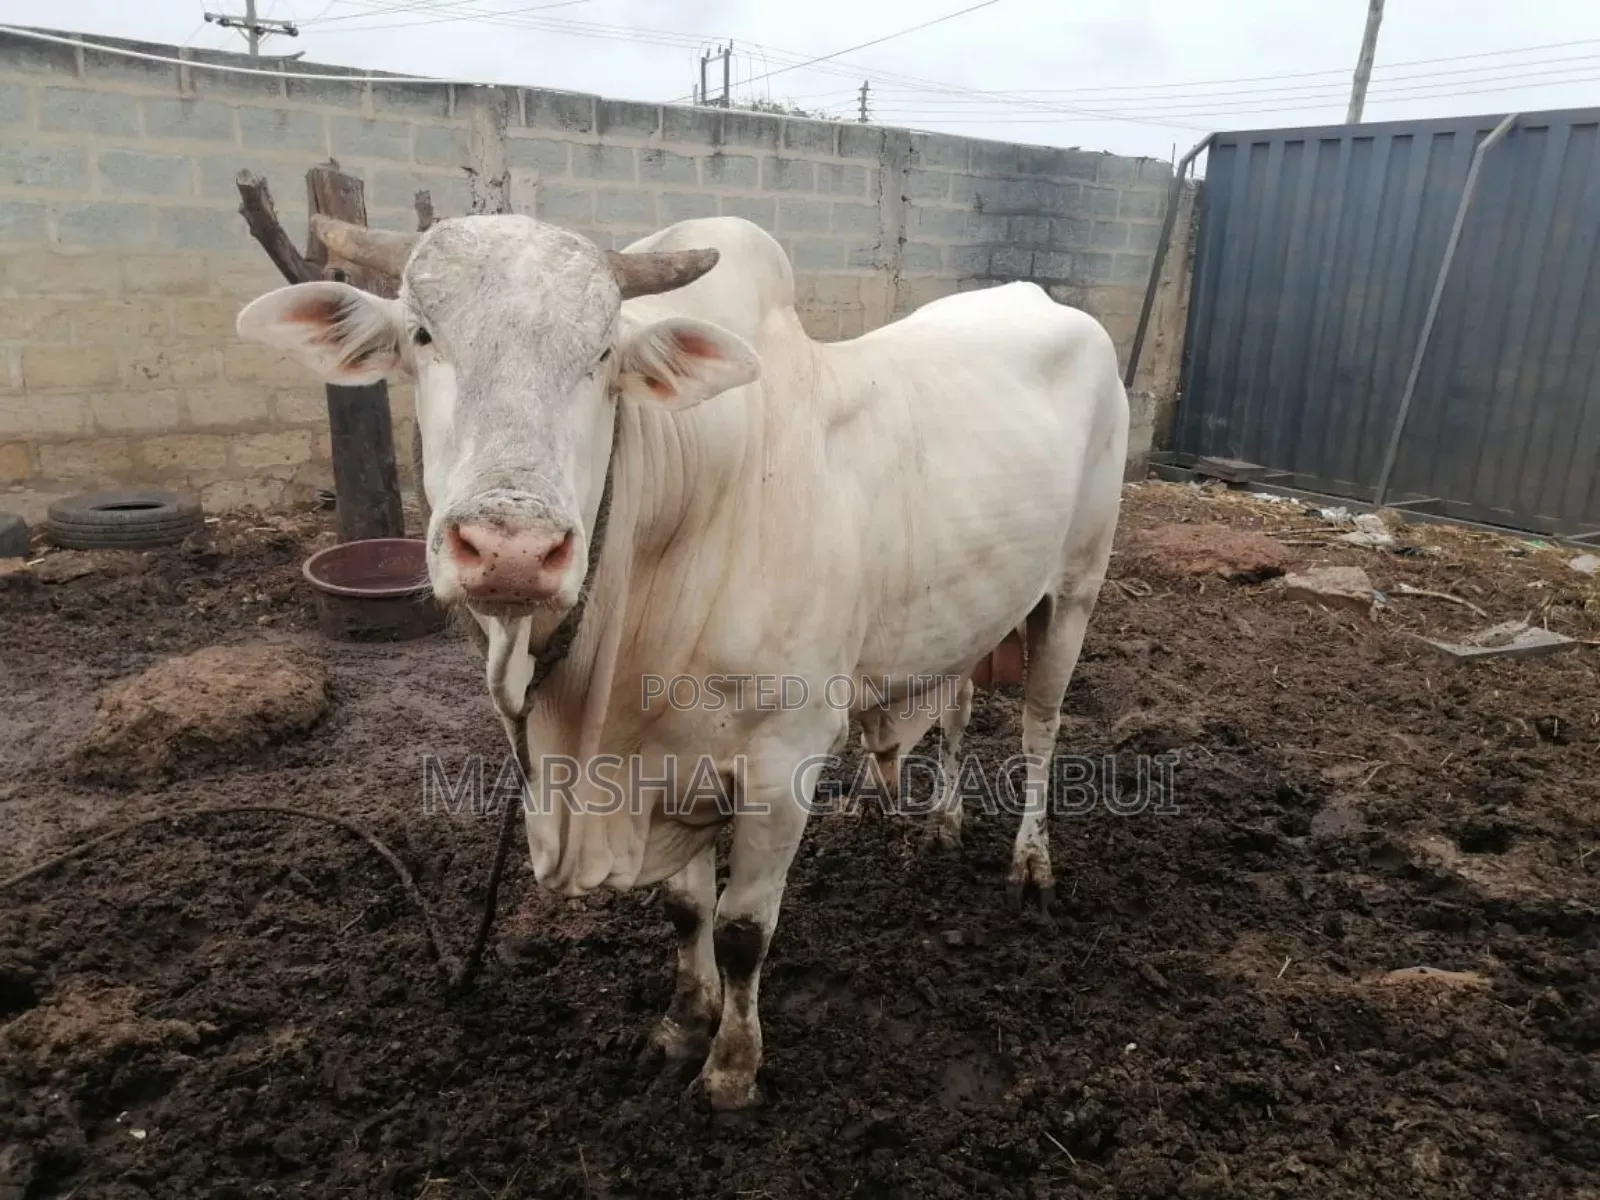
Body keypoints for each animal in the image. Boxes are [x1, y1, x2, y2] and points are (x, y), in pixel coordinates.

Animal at [234, 213, 1129, 1110]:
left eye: (604, 354)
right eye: (422, 334)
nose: (512, 549)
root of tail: (1047, 301)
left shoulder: (786, 759)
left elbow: (741, 931)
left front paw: (731, 1068)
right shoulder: (665, 762)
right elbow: (687, 913)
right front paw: (678, 1027)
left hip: (1075, 588)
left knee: (1039, 729)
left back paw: (1032, 865)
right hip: (974, 614)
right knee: (957, 709)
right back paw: (942, 823)